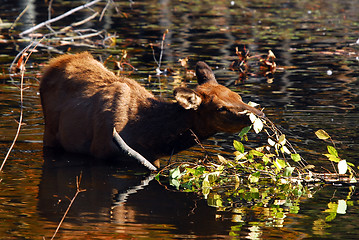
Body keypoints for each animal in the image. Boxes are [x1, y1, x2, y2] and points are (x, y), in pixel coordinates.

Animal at [39, 52, 264, 171]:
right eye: (221, 108)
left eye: (238, 96)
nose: (259, 114)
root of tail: (54, 63)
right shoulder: (100, 152)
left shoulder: (153, 160)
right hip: (50, 134)